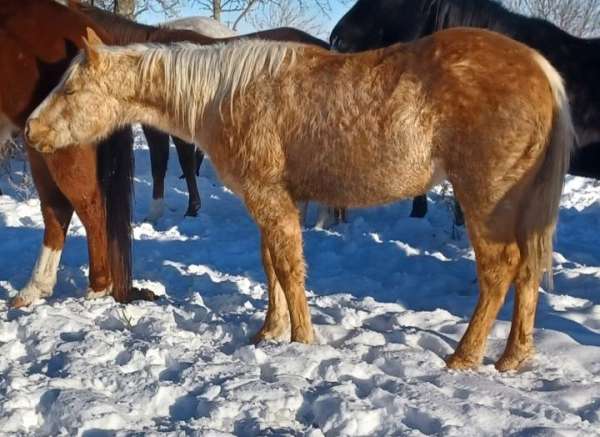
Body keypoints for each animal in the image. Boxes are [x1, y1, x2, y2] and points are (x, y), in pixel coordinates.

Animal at [27, 27, 572, 370]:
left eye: (70, 90)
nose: (32, 130)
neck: (224, 93)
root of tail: (538, 67)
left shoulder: (269, 197)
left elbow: (288, 267)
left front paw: (301, 340)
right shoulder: (269, 200)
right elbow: (270, 262)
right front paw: (270, 332)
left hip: (485, 200)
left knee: (499, 270)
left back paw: (465, 356)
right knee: (527, 270)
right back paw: (512, 358)